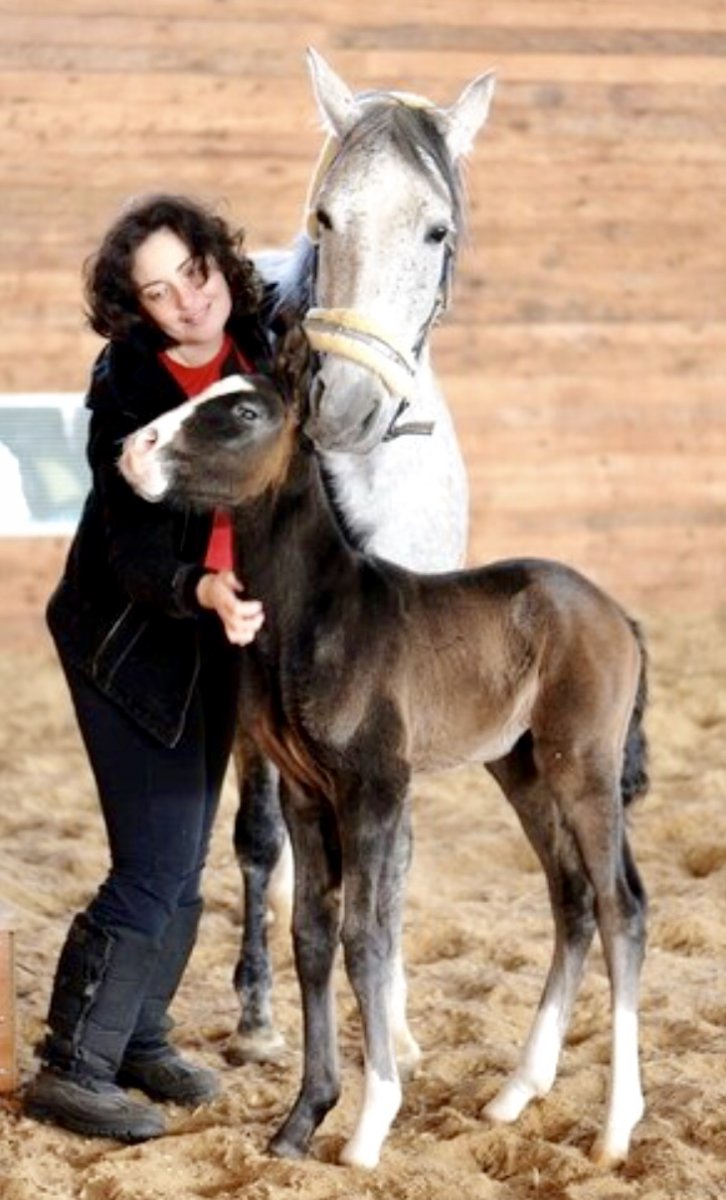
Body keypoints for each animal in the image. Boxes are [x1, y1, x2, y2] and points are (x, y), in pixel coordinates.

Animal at [119, 372, 649, 1171]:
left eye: (244, 410)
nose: (132, 449)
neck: (314, 618)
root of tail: (617, 614)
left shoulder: (374, 788)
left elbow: (364, 936)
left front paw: (371, 1123)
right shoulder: (307, 794)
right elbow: (311, 935)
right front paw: (301, 1121)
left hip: (584, 765)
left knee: (621, 907)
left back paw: (616, 1127)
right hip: (522, 770)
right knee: (573, 899)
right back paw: (515, 1094)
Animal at [231, 48, 496, 1064]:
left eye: (436, 229)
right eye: (326, 216)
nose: (341, 409)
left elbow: (395, 859)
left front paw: (401, 1029)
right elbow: (269, 842)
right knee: (257, 840)